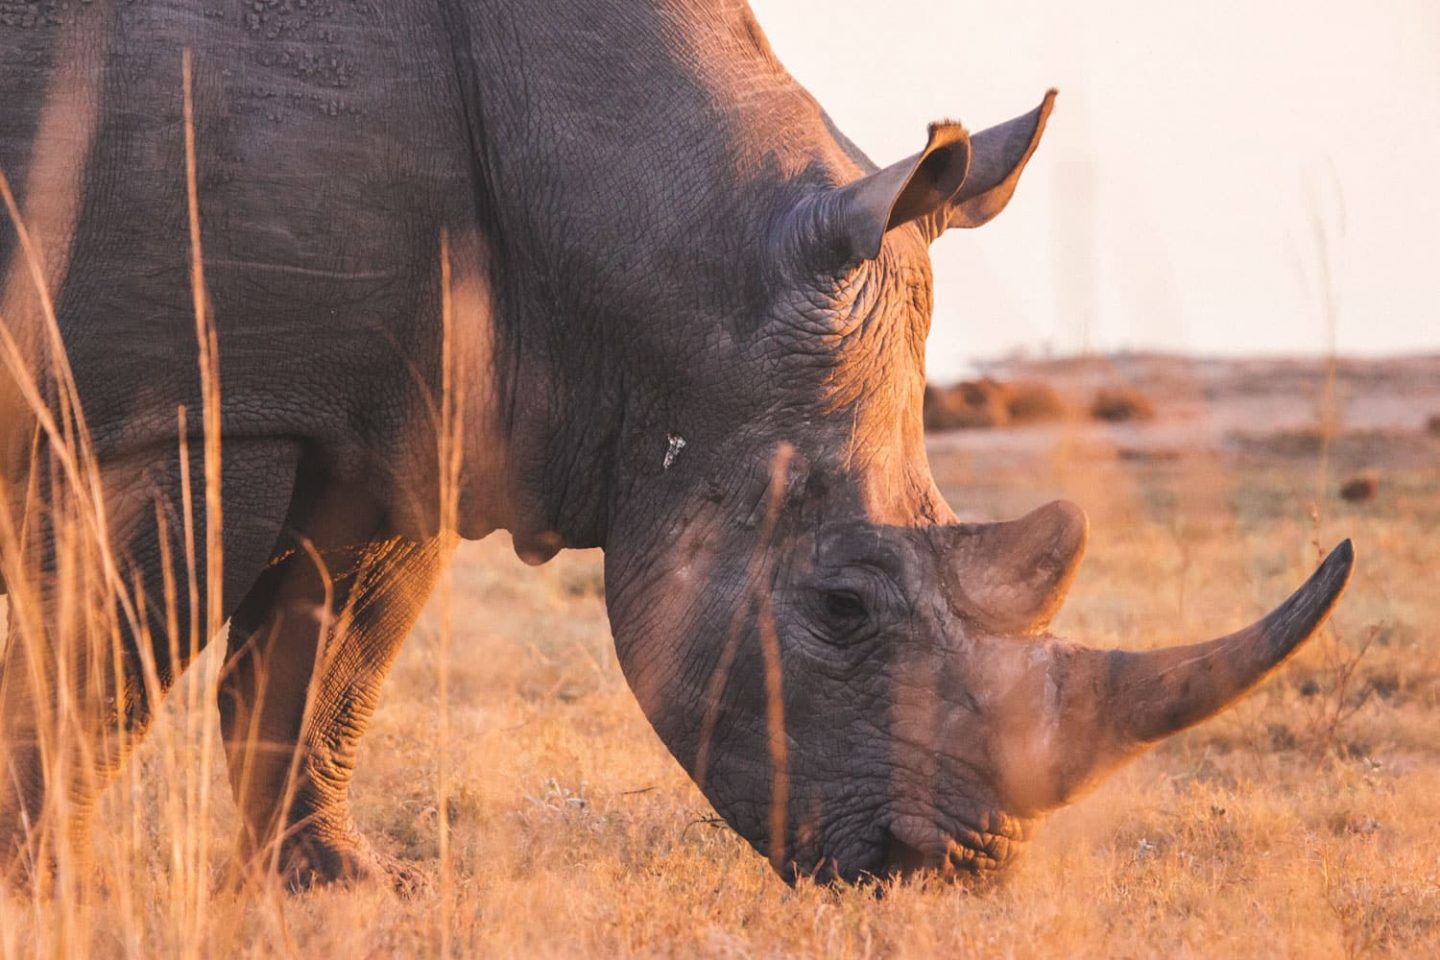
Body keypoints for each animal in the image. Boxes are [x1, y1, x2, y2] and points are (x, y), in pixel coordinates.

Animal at [0, 0, 1347, 892]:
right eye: (844, 610)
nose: (954, 871)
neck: (638, 223)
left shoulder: (405, 409)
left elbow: (326, 658)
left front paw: (336, 886)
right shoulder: (200, 397)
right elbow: (103, 656)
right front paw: (50, 886)